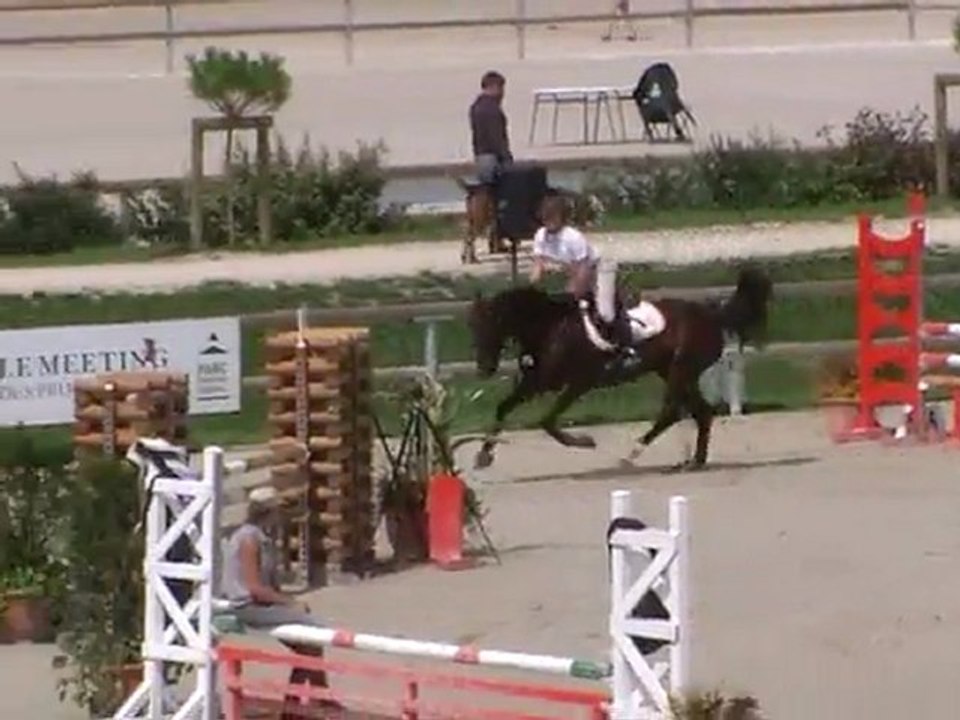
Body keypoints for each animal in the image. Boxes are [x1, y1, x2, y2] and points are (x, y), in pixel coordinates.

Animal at [466, 267, 773, 470]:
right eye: (473, 327)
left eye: (490, 326)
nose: (484, 368)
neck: (550, 328)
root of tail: (712, 315)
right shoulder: (537, 382)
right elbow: (504, 408)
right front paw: (484, 455)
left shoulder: (578, 384)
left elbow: (547, 421)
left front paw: (583, 441)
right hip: (672, 370)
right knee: (702, 412)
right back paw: (695, 461)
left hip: (680, 369)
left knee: (673, 412)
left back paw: (631, 454)